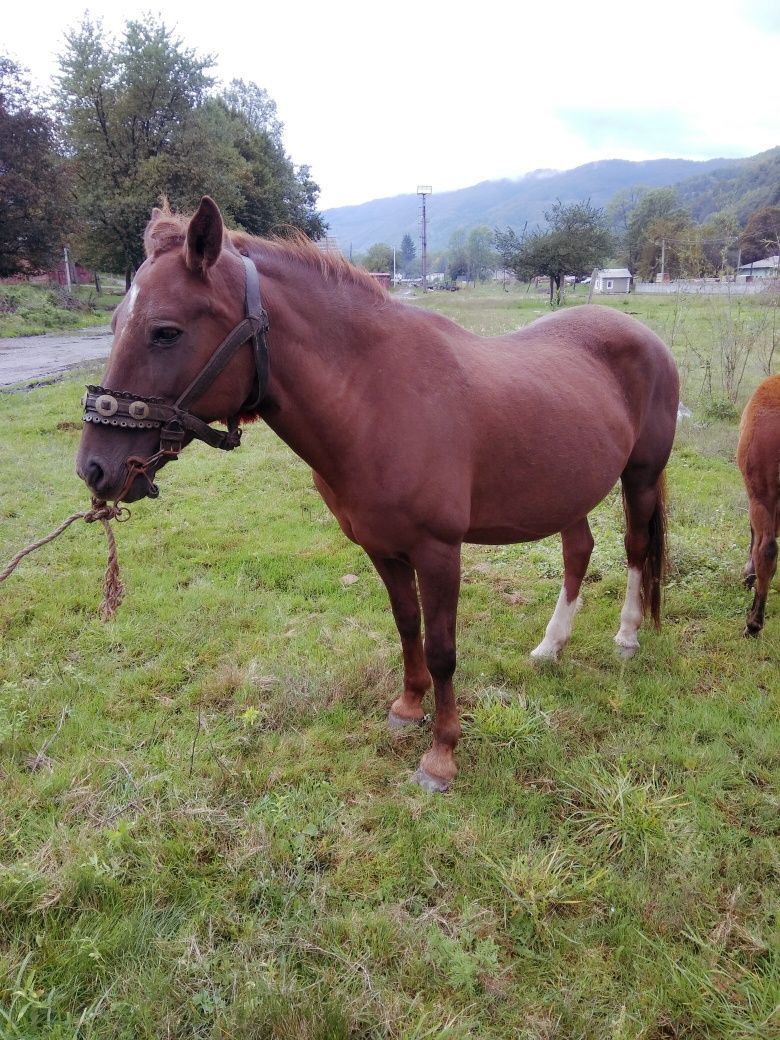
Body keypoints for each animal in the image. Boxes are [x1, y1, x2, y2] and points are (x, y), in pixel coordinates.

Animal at [76, 198, 682, 790]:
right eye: (116, 322)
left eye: (165, 331)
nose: (95, 468)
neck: (376, 399)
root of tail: (644, 336)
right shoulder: (382, 548)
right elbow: (407, 625)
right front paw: (408, 709)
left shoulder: (438, 552)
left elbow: (442, 650)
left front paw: (441, 755)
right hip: (567, 490)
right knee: (578, 551)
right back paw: (551, 646)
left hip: (640, 477)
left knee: (634, 550)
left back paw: (627, 637)